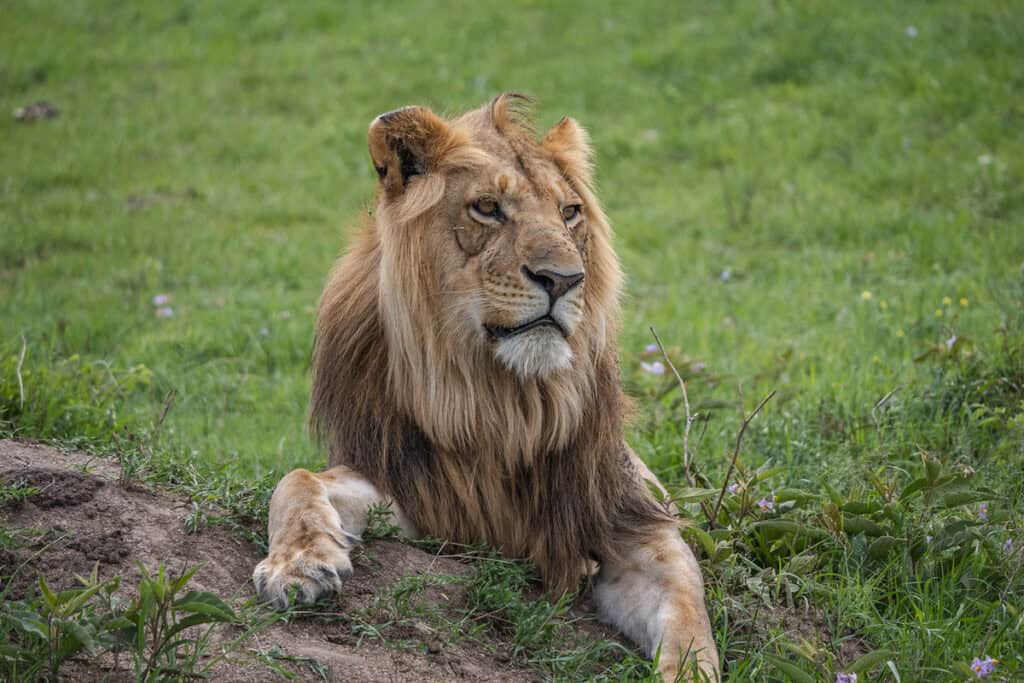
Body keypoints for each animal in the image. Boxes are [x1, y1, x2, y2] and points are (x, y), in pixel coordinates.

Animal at [253, 94, 720, 679]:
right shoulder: (420, 494)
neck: (502, 402)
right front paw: (299, 565)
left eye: (570, 212)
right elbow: (296, 480)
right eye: (488, 208)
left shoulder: (632, 518)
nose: (564, 279)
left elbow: (689, 613)